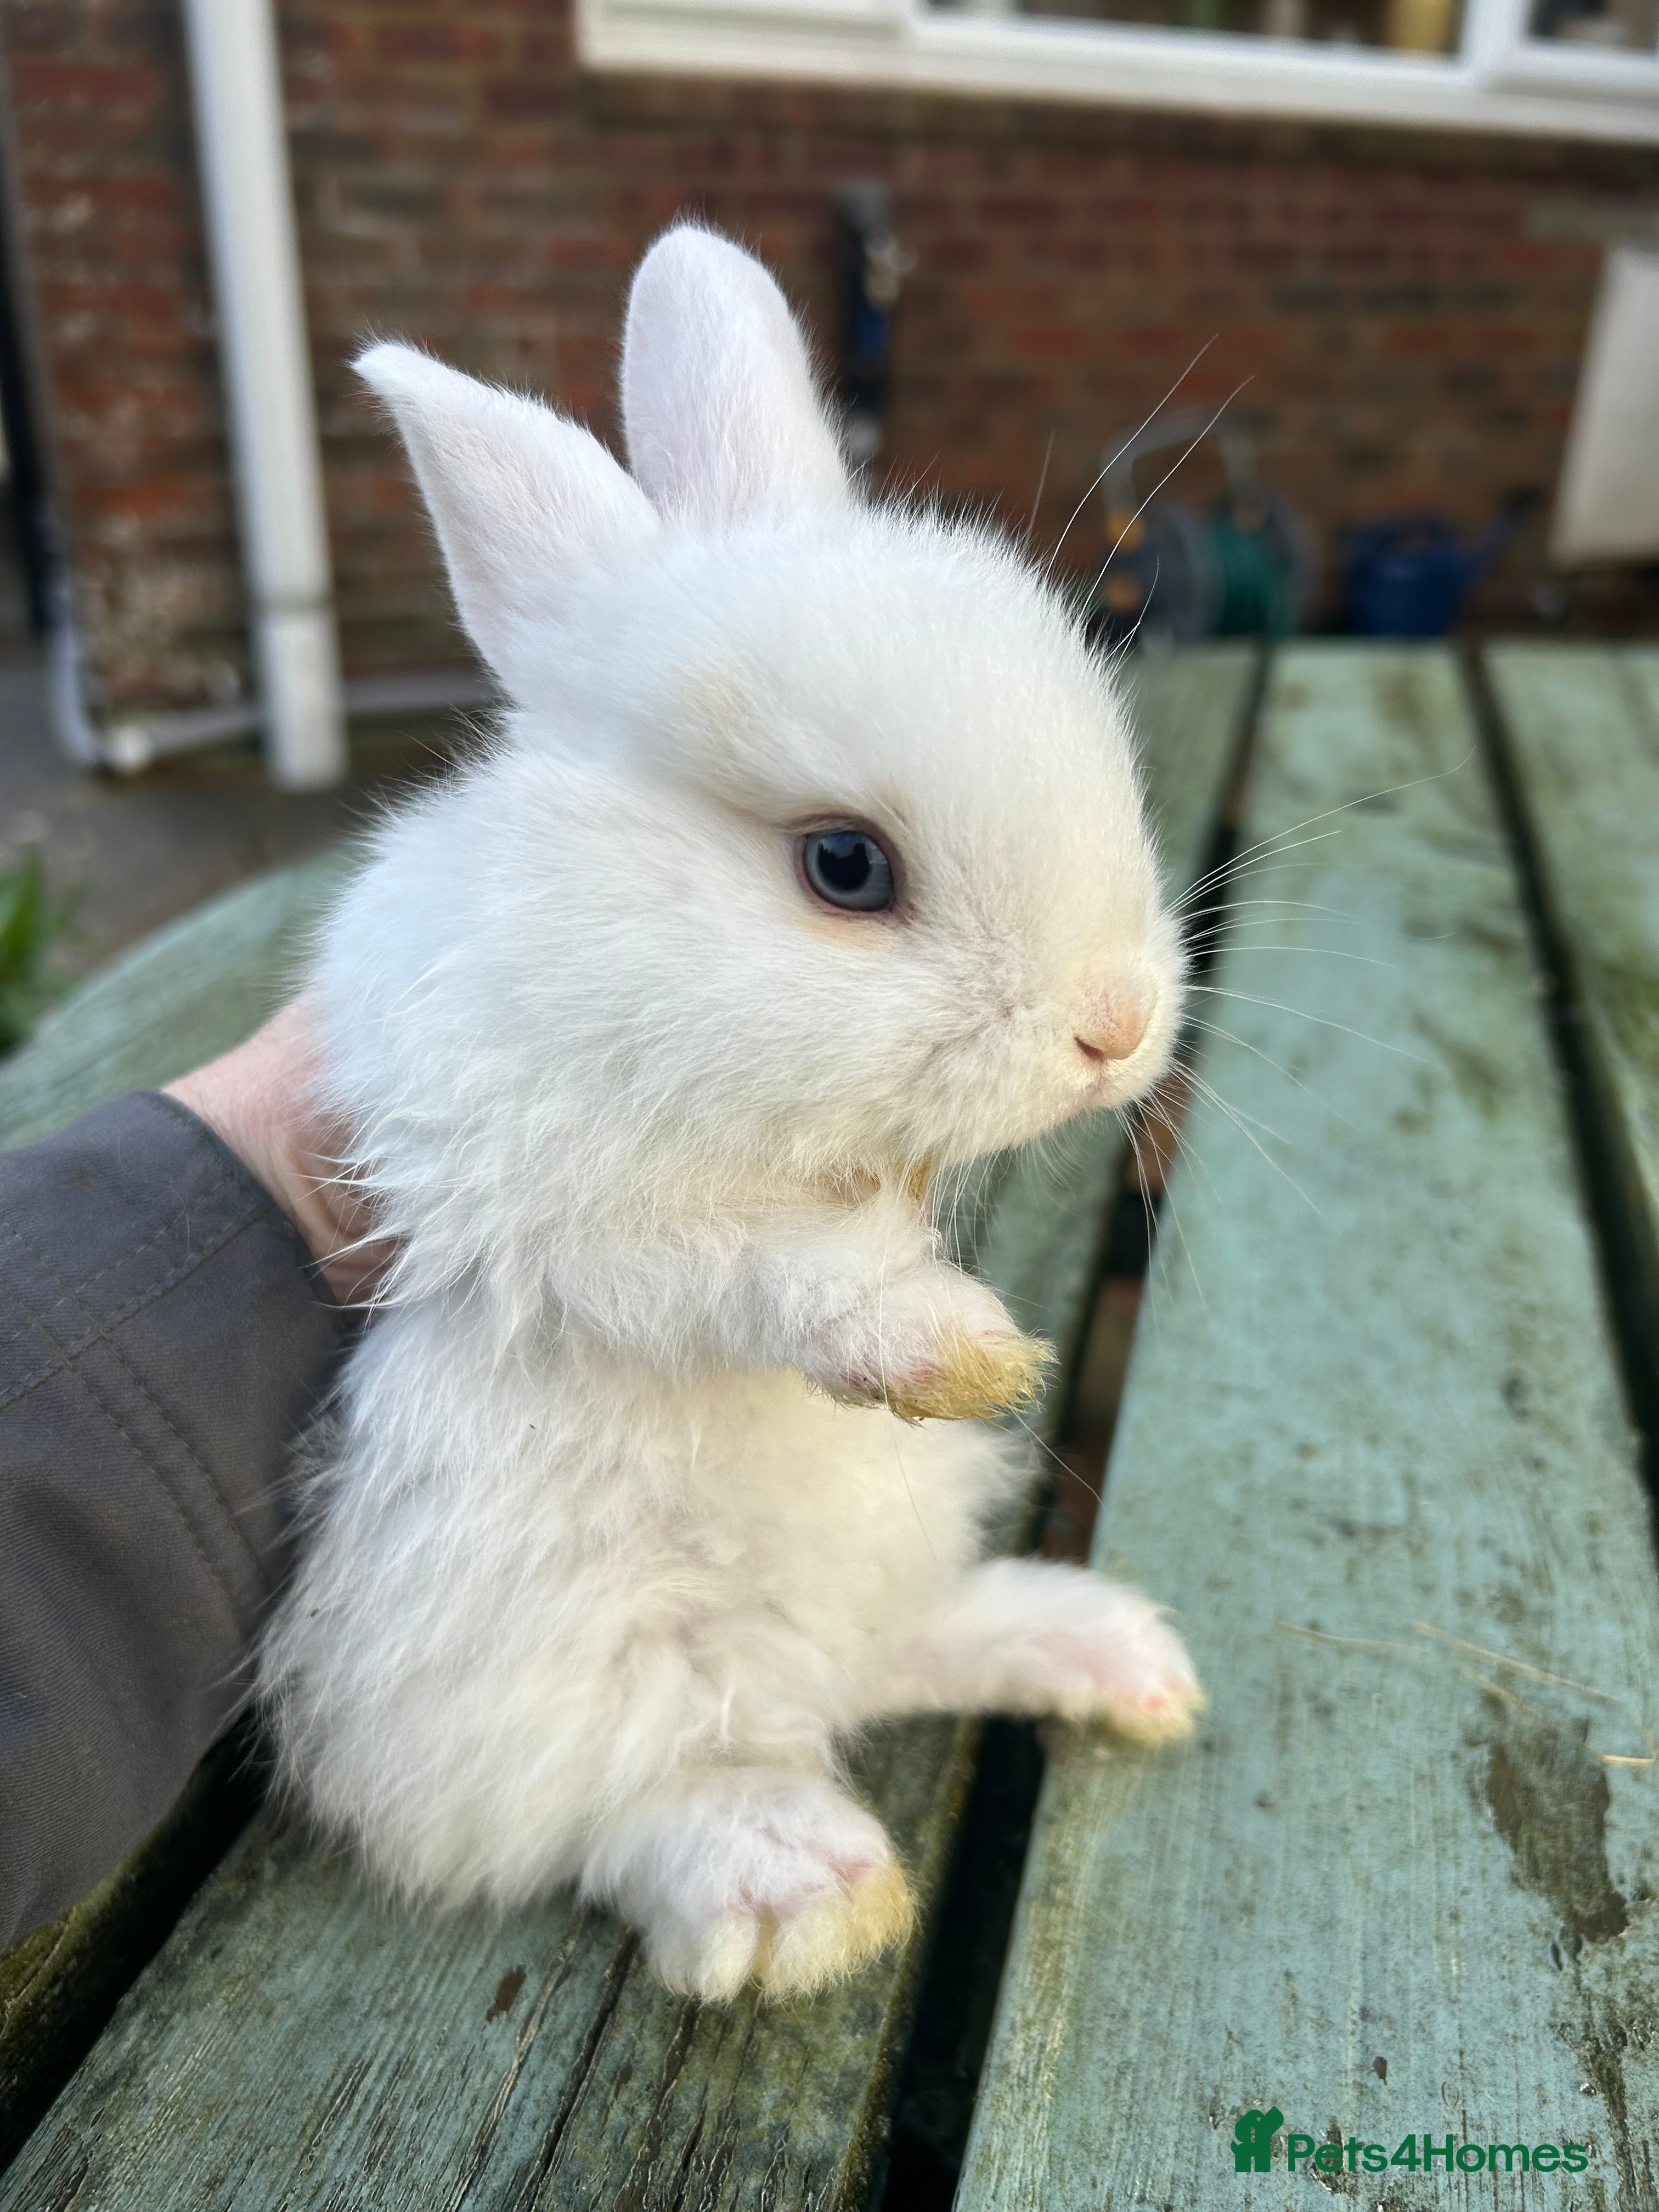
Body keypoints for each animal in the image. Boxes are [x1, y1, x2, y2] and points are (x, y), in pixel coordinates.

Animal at [258, 224, 1203, 2003]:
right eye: (844, 866)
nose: (1115, 1029)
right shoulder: (557, 1206)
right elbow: (754, 1266)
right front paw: (946, 1345)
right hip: (529, 1670)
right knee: (622, 1801)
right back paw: (793, 1884)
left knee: (879, 1660)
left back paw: (1102, 1653)